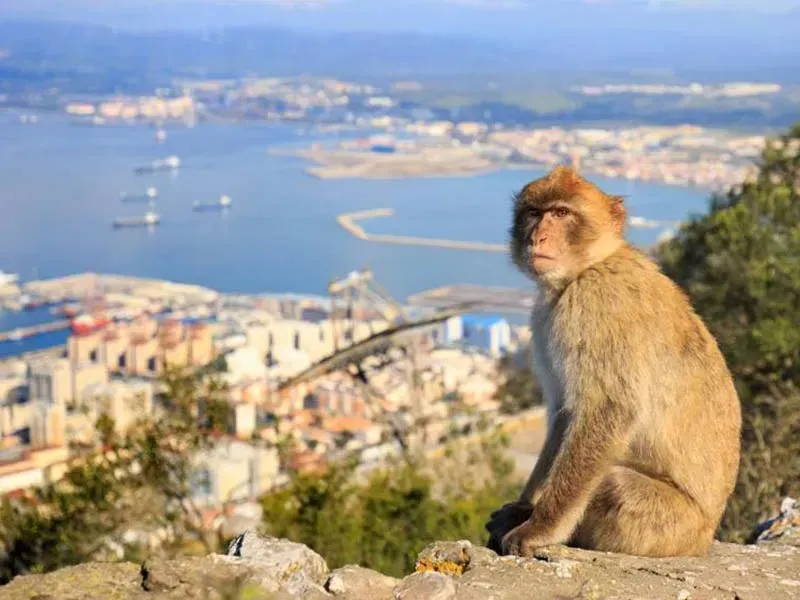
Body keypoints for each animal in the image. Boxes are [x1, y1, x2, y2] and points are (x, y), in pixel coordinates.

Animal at [485, 165, 741, 558]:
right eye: (534, 213)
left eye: (561, 213)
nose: (537, 237)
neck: (590, 266)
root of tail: (704, 537)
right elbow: (565, 413)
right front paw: (524, 508)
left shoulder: (596, 304)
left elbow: (607, 410)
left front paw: (539, 527)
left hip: (669, 526)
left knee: (614, 486)